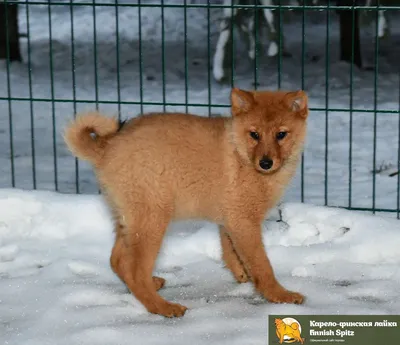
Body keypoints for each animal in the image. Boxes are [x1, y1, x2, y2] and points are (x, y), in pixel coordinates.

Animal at [64, 88, 310, 318]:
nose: (266, 163)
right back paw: (163, 307)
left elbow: (230, 250)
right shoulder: (244, 221)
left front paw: (242, 274)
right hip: (152, 219)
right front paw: (280, 295)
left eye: (281, 134)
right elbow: (262, 264)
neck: (242, 156)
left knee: (118, 260)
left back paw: (152, 285)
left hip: (128, 218)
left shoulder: (230, 219)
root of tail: (107, 146)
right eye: (254, 134)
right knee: (135, 270)